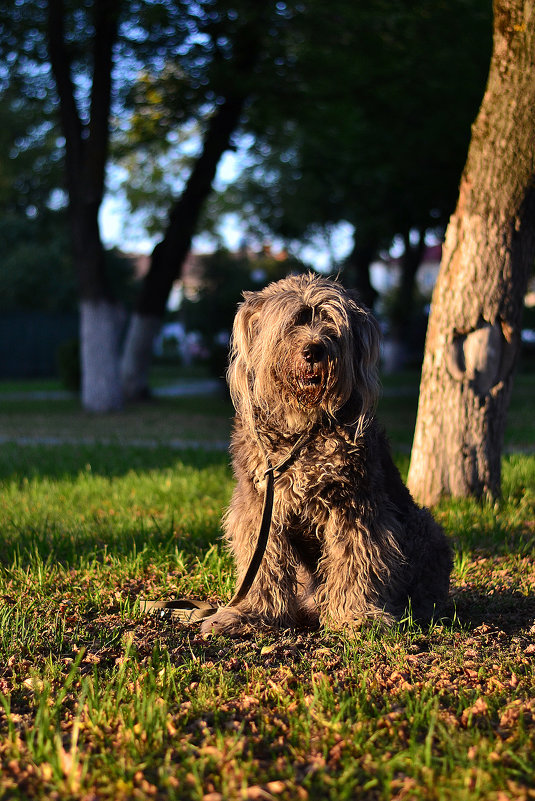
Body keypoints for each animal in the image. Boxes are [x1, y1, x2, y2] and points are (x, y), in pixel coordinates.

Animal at [201, 272, 452, 636]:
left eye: (331, 324)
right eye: (293, 321)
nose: (313, 349)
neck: (302, 430)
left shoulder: (355, 506)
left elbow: (356, 560)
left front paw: (356, 616)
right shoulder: (259, 510)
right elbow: (261, 567)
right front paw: (250, 614)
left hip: (423, 525)